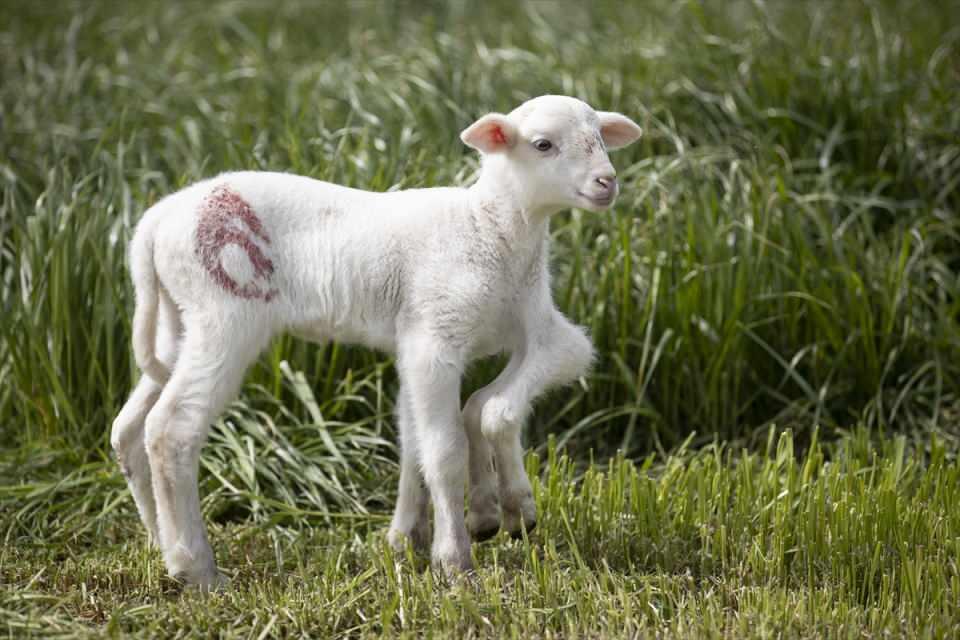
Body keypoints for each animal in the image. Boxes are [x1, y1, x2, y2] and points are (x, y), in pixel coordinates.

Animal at [110, 92, 636, 588]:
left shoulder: (538, 334)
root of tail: (154, 224)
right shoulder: (433, 342)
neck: (487, 228)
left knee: (129, 427)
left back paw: (160, 541)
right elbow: (449, 445)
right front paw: (457, 559)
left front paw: (457, 523)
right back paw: (196, 568)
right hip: (225, 313)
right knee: (171, 429)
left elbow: (459, 421)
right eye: (543, 144)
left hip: (176, 323)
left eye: (601, 137)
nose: (607, 182)